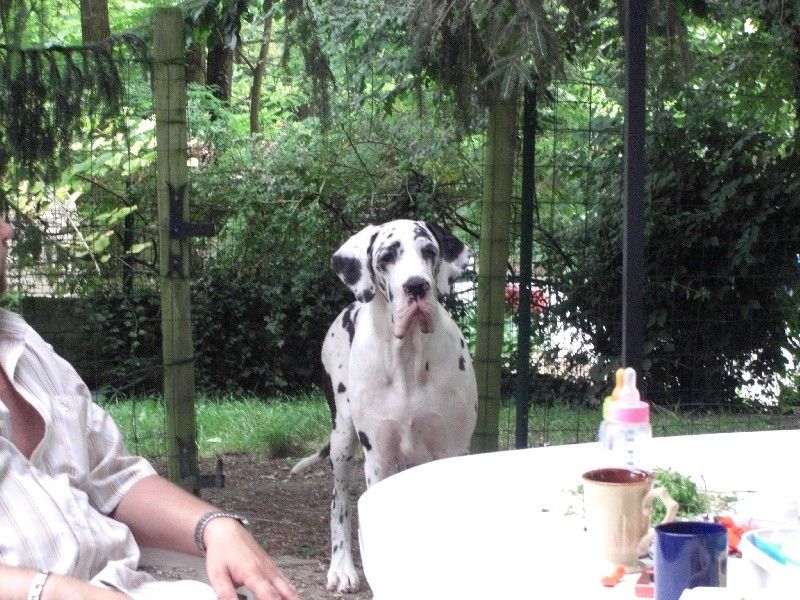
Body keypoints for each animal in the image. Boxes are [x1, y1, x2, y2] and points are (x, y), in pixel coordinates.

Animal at [290, 219, 478, 593]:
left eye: (429, 251)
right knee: (339, 503)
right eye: (387, 257)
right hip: (342, 439)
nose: (417, 286)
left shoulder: (449, 451)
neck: (408, 359)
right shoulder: (378, 458)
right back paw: (342, 567)